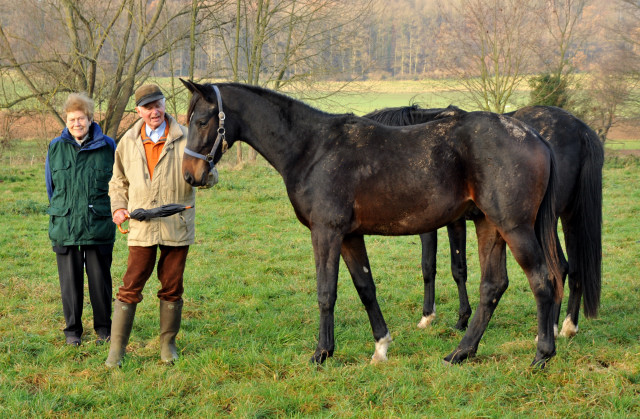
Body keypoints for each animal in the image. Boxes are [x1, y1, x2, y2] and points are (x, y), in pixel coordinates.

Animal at [179, 79, 560, 368]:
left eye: (202, 120)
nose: (190, 175)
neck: (311, 148)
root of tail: (533, 135)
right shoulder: (350, 237)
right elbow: (365, 288)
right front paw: (381, 346)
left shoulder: (326, 233)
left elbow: (326, 292)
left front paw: (322, 353)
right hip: (488, 225)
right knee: (492, 286)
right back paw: (461, 353)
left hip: (514, 227)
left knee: (542, 281)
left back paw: (541, 355)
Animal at [364, 106, 604, 338]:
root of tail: (581, 130)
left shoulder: (447, 224)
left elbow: (442, 267)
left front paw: (444, 318)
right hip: (567, 216)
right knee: (572, 269)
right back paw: (566, 326)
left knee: (559, 267)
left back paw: (551, 330)